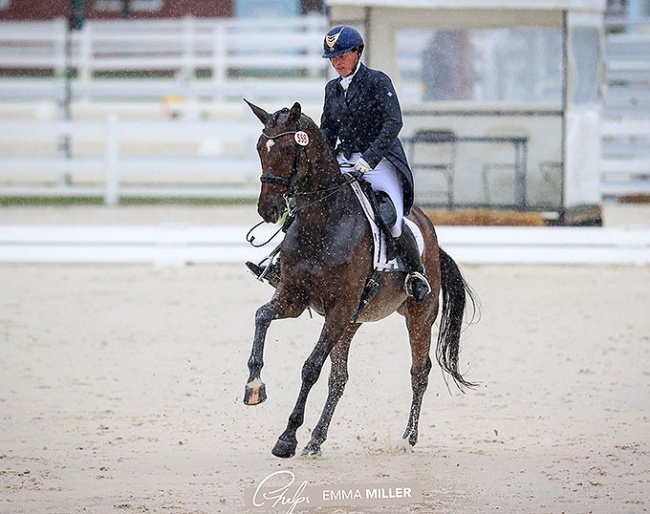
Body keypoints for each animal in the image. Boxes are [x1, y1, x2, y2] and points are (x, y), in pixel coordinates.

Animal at [243, 100, 476, 456]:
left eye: (286, 148)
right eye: (259, 148)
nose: (268, 210)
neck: (322, 222)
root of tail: (430, 232)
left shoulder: (339, 309)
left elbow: (311, 367)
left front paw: (287, 438)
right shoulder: (293, 298)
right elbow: (261, 317)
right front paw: (254, 386)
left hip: (418, 314)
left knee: (419, 372)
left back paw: (408, 437)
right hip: (353, 321)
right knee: (339, 379)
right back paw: (316, 439)